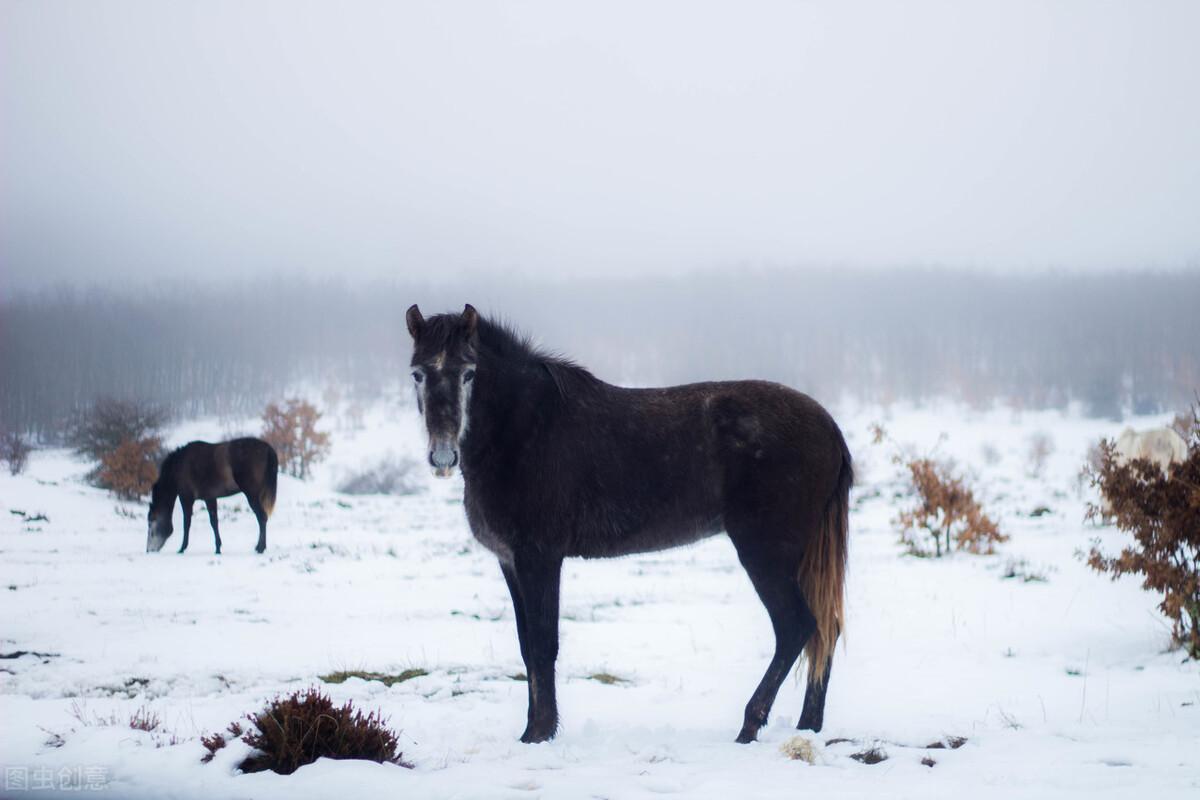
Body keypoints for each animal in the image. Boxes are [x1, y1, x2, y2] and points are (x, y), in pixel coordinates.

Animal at [146, 438, 277, 556]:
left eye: (151, 522)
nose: (148, 550)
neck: (178, 467)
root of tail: (267, 448)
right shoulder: (209, 498)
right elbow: (214, 522)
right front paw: (218, 548)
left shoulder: (186, 497)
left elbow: (186, 523)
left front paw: (182, 548)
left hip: (252, 495)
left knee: (262, 517)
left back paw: (260, 548)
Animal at [405, 307, 854, 743]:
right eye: (418, 373)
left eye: (468, 372)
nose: (443, 456)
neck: (524, 429)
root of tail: (829, 427)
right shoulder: (511, 562)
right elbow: (526, 645)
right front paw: (534, 728)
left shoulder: (540, 558)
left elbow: (543, 645)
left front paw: (538, 733)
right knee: (824, 630)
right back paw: (808, 726)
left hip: (765, 553)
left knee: (796, 626)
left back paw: (750, 725)